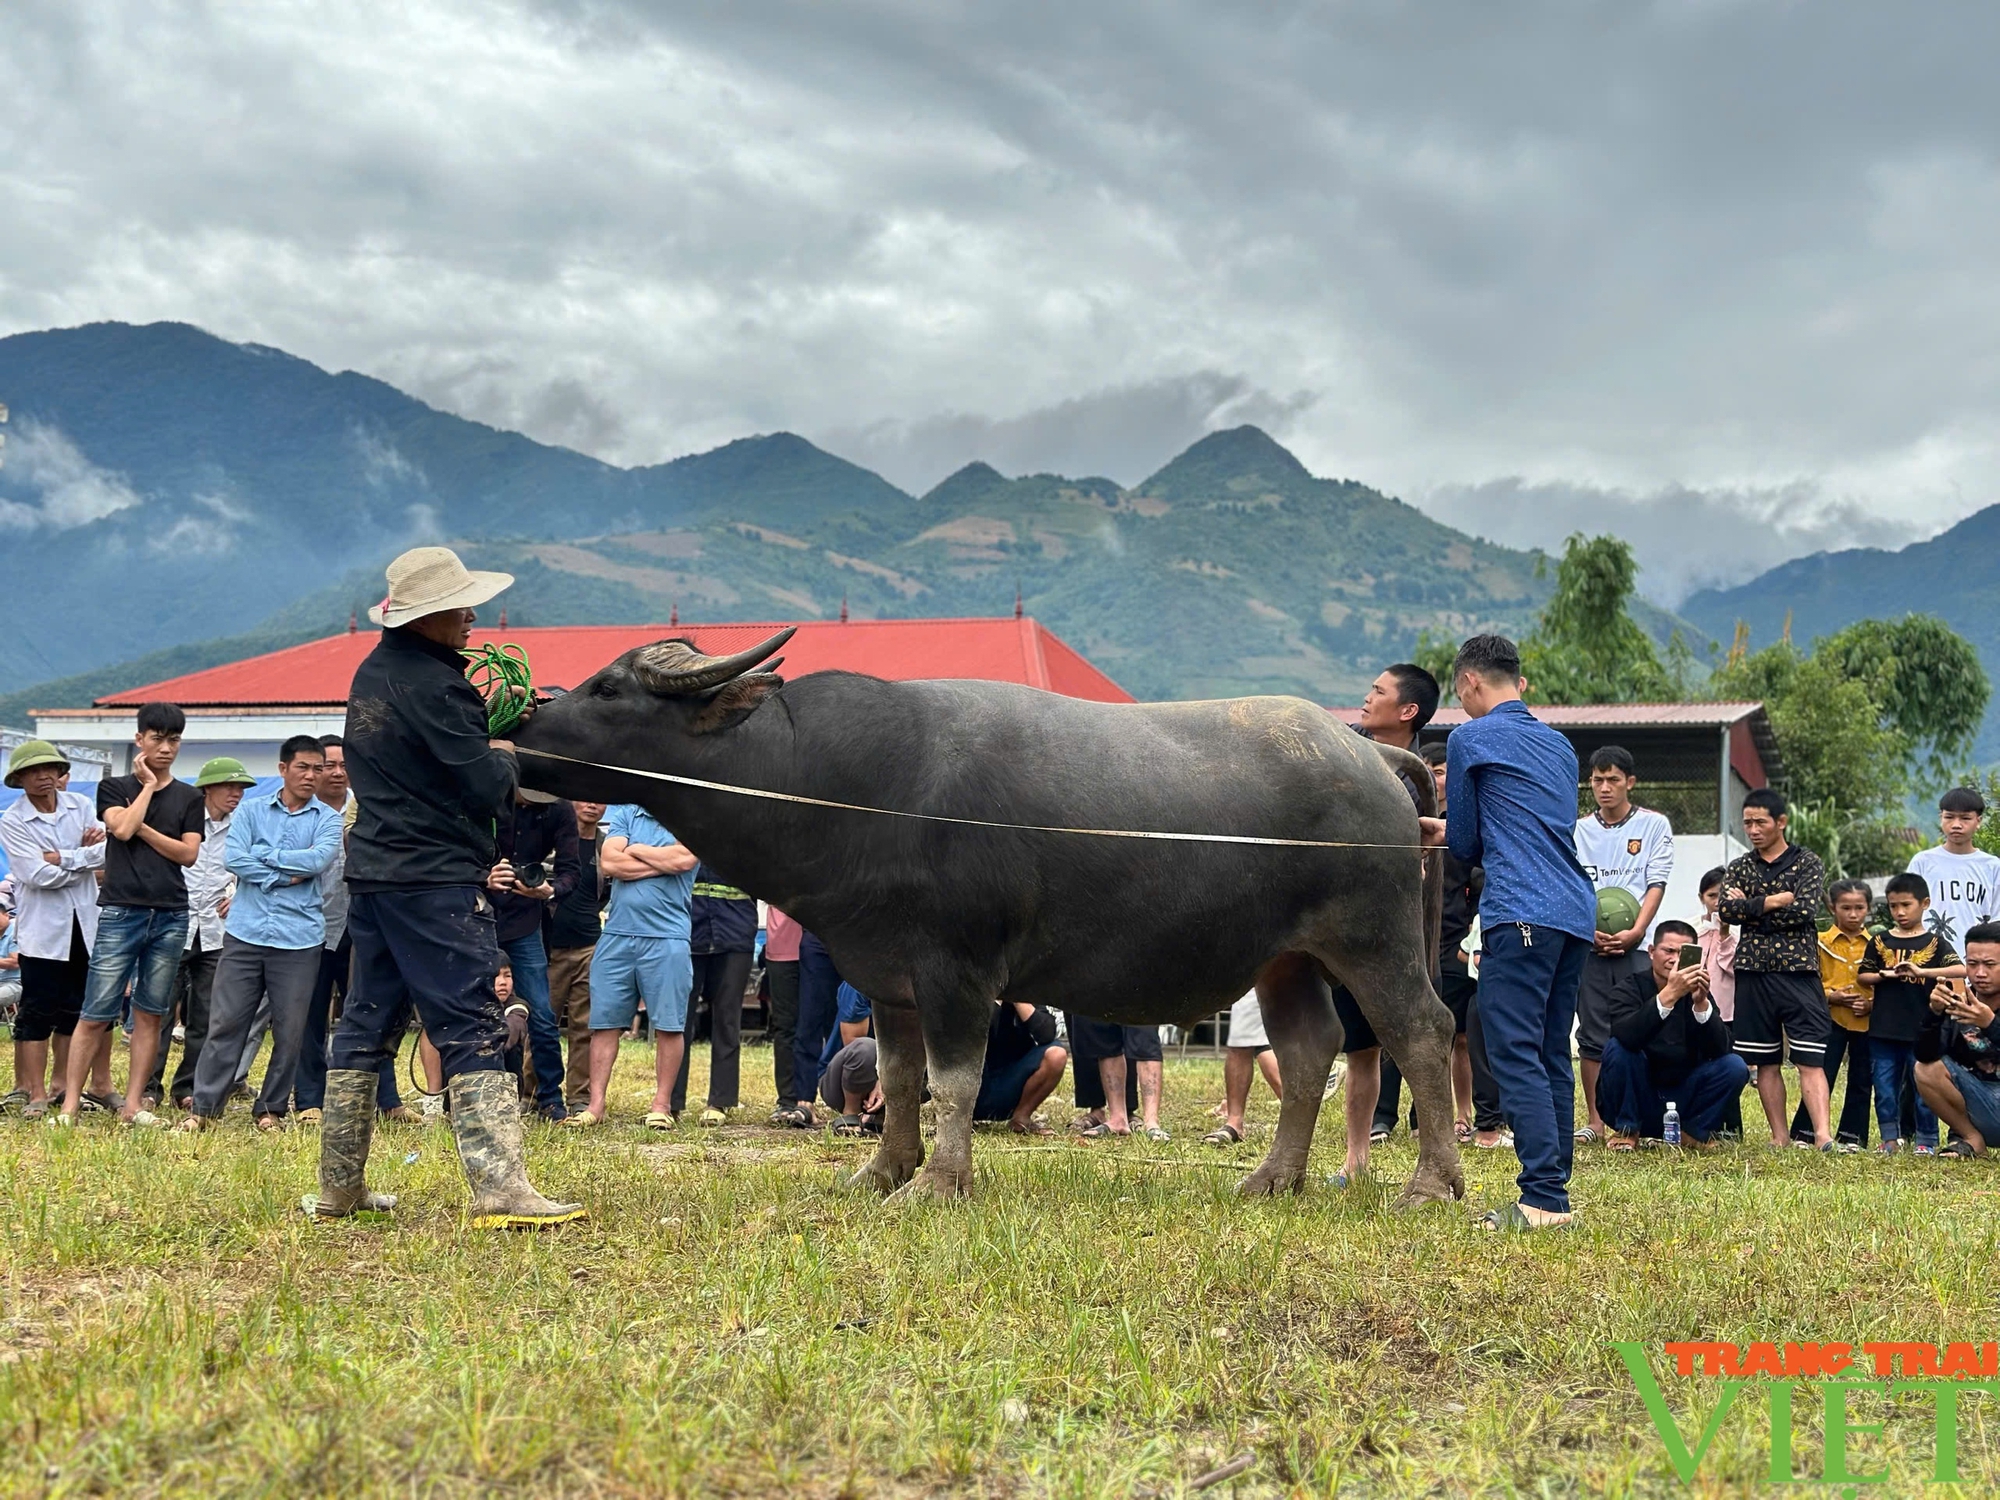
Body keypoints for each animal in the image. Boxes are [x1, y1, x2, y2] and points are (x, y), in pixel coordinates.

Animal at [508, 624, 1464, 1208]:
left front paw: (939, 1183)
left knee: (1422, 1033)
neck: (840, 780)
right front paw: (881, 1171)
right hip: (1285, 959)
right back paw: (1272, 1178)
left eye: (608, 688)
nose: (520, 735)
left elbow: (957, 1081)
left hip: (1372, 940)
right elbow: (899, 1080)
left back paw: (1429, 1184)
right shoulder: (888, 977)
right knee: (1308, 1052)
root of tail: (1371, 755)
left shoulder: (958, 970)